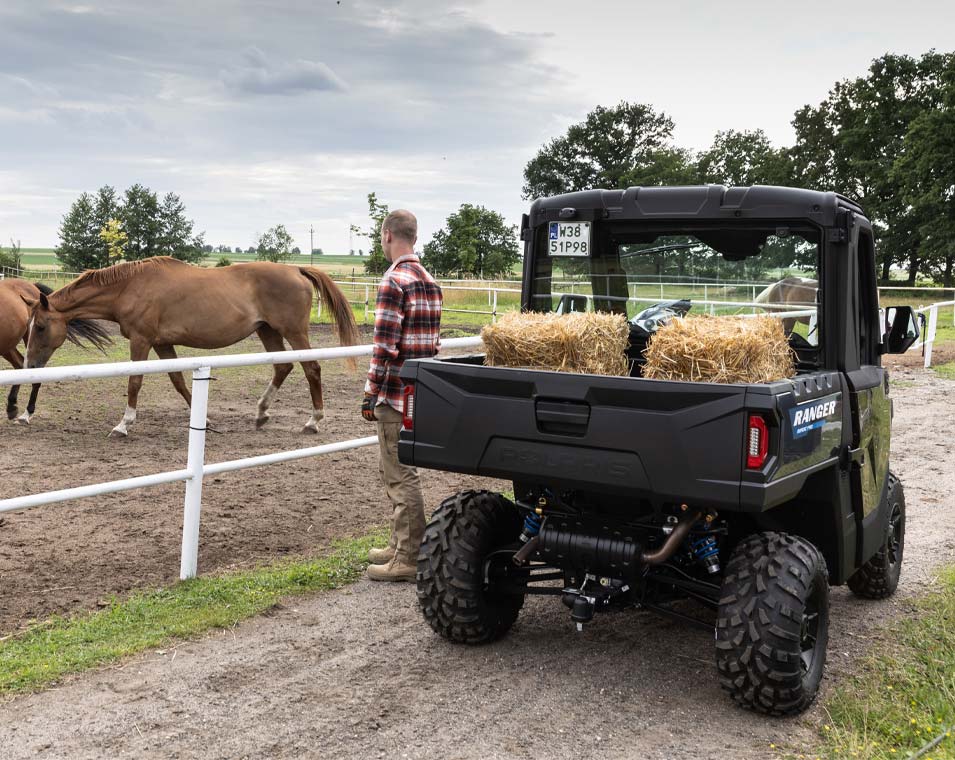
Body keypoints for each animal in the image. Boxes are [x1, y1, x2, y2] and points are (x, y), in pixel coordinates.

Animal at [1, 279, 111, 423]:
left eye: (40, 327)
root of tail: (31, 285)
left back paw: (26, 412)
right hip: (8, 346)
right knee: (21, 366)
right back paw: (12, 407)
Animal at [23, 257, 359, 437]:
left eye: (40, 327)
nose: (29, 367)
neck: (130, 288)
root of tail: (296, 269)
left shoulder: (142, 341)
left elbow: (134, 382)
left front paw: (123, 424)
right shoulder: (162, 344)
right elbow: (179, 381)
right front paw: (205, 419)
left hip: (293, 332)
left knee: (311, 368)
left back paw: (313, 421)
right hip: (268, 332)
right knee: (283, 366)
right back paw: (261, 413)